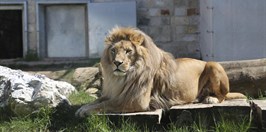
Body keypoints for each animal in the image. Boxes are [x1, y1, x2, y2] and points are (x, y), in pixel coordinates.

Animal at [75, 26, 245, 116]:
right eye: (113, 51)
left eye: (128, 51)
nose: (117, 63)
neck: (121, 78)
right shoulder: (114, 93)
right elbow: (97, 100)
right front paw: (82, 107)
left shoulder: (135, 101)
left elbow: (105, 104)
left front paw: (84, 111)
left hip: (213, 64)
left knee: (222, 96)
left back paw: (211, 99)